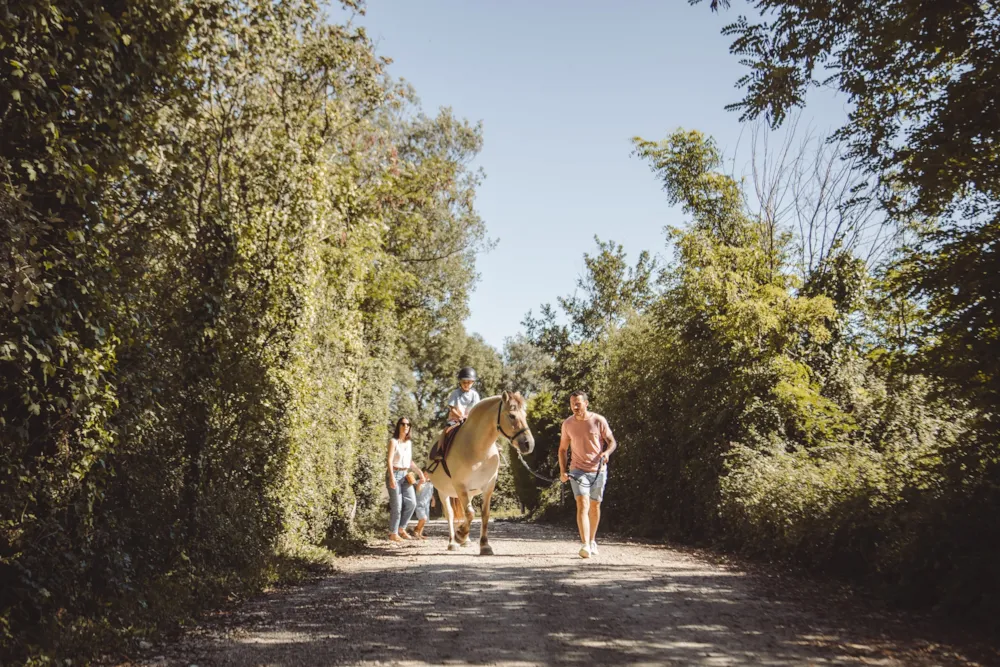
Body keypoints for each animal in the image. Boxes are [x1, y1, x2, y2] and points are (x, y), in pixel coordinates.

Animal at [426, 388, 536, 556]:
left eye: (525, 415)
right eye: (512, 415)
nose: (529, 444)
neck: (477, 447)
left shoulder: (488, 487)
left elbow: (484, 514)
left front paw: (484, 545)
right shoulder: (460, 486)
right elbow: (470, 513)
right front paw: (460, 534)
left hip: (469, 493)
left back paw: (466, 540)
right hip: (443, 491)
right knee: (450, 514)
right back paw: (453, 542)